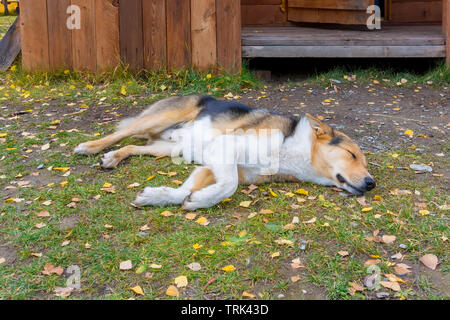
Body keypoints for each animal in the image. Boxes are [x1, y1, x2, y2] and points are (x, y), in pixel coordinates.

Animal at [74, 95, 376, 210]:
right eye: (351, 155)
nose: (371, 183)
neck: (293, 153)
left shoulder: (211, 165)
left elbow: (185, 190)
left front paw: (160, 197)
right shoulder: (226, 149)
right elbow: (228, 186)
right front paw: (198, 200)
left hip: (170, 148)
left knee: (135, 146)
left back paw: (114, 157)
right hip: (160, 118)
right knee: (121, 133)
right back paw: (90, 147)